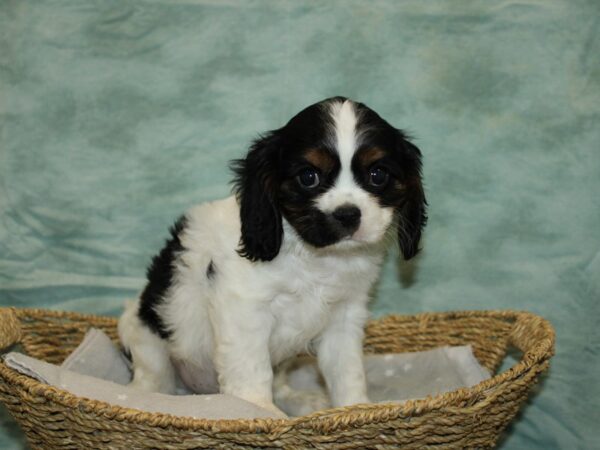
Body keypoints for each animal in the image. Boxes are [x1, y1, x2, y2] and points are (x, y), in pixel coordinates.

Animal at [118, 96, 426, 416]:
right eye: (308, 177)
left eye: (378, 175)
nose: (348, 214)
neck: (315, 255)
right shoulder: (245, 307)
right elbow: (252, 365)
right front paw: (257, 409)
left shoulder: (344, 315)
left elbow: (346, 368)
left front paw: (355, 407)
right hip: (149, 337)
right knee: (153, 379)